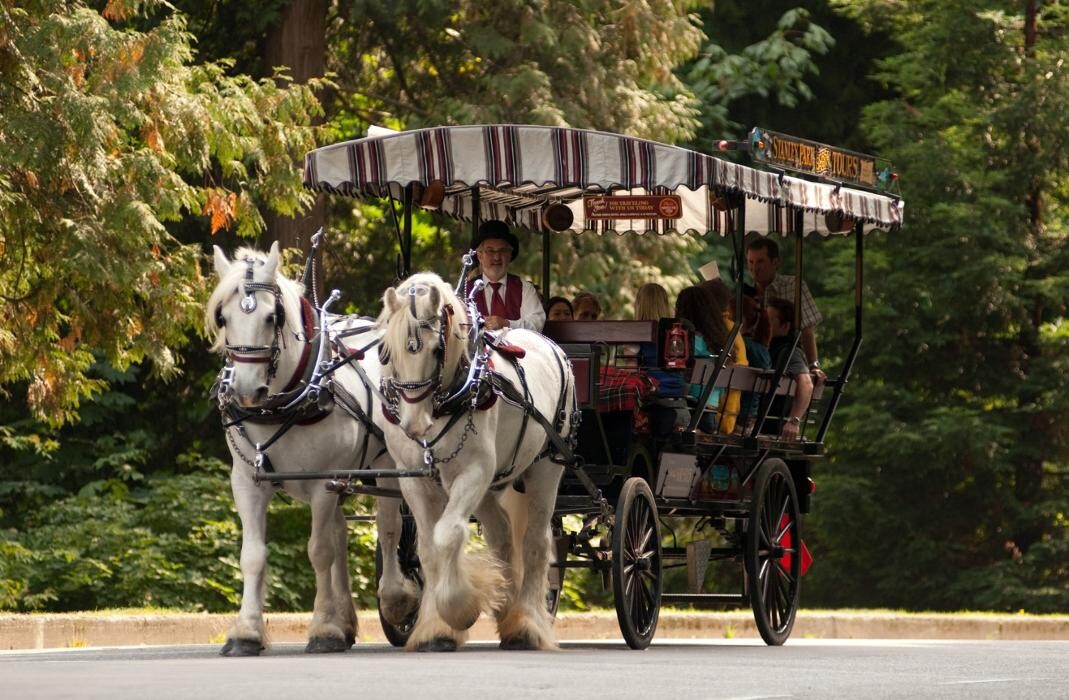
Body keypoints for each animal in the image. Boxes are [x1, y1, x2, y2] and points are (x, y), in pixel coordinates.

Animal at [204, 242, 416, 658]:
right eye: (223, 317)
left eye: (272, 317)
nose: (245, 391)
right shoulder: (246, 481)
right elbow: (253, 556)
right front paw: (246, 632)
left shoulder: (322, 481)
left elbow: (319, 552)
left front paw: (323, 630)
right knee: (341, 534)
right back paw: (345, 619)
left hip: (386, 468)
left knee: (389, 528)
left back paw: (396, 599)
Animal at [376, 272, 577, 649]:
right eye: (388, 351)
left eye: (436, 349)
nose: (414, 424)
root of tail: (548, 344)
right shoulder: (415, 480)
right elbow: (428, 548)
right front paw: (434, 627)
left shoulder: (474, 472)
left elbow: (449, 534)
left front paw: (458, 608)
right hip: (493, 484)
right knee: (502, 534)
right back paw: (506, 603)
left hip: (546, 465)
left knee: (535, 543)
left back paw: (526, 624)